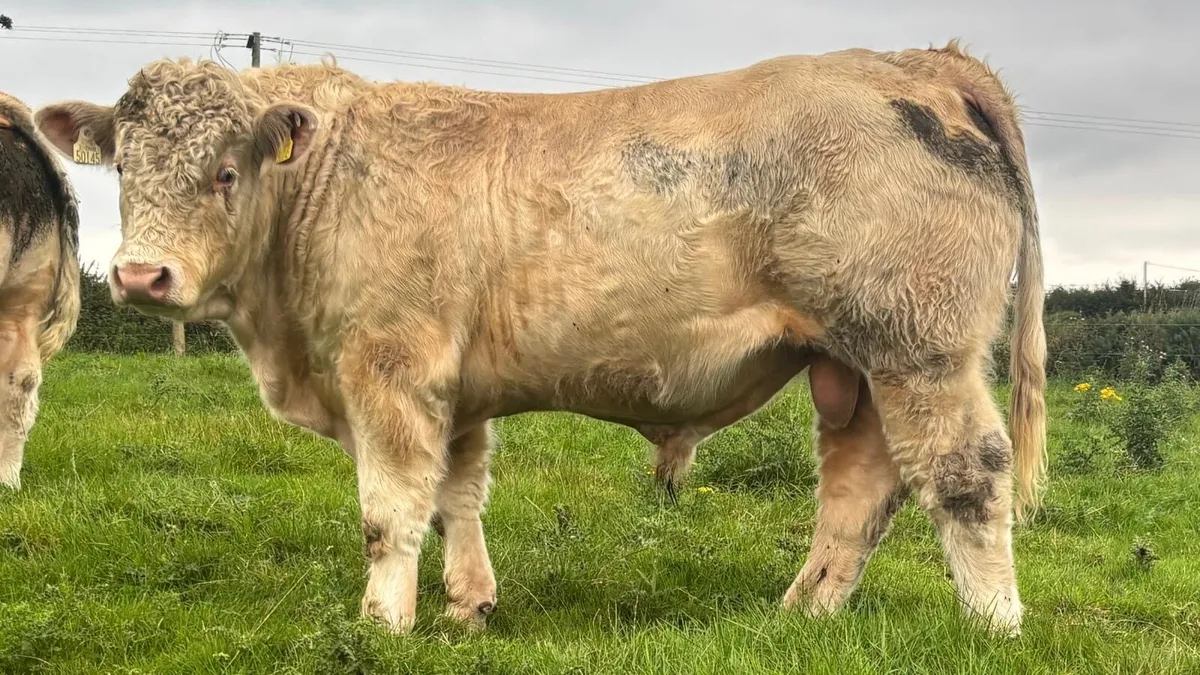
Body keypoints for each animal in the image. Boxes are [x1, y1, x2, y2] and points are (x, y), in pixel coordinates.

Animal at [33, 39, 1047, 637]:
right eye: (123, 166)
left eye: (226, 170)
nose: (141, 276)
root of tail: (920, 60)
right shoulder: (453, 388)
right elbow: (456, 495)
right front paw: (466, 605)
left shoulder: (390, 369)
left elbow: (389, 509)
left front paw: (381, 622)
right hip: (854, 364)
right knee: (862, 487)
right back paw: (803, 612)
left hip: (919, 348)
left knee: (966, 471)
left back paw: (994, 624)